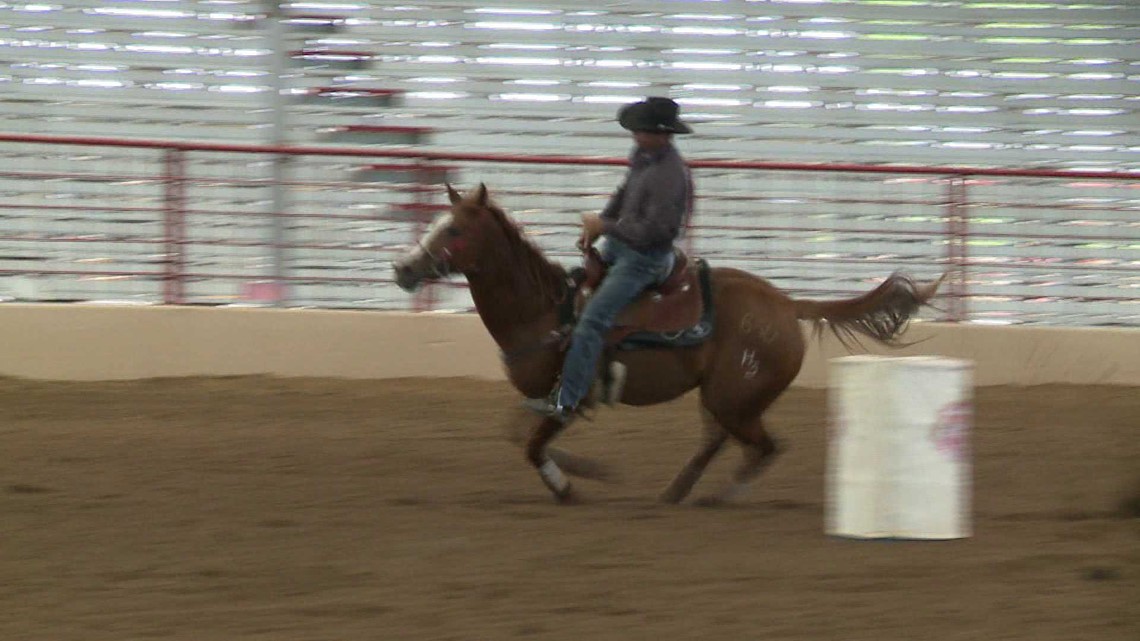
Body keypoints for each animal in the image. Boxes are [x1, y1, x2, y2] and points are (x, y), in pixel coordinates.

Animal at [392, 183, 943, 504]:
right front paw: (587, 471)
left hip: (734, 399)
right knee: (721, 441)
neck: (545, 309)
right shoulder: (541, 395)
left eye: (455, 229)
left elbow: (531, 445)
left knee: (763, 447)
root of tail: (789, 305)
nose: (402, 269)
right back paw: (676, 491)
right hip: (721, 397)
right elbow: (517, 435)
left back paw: (718, 497)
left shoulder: (566, 395)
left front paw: (570, 483)